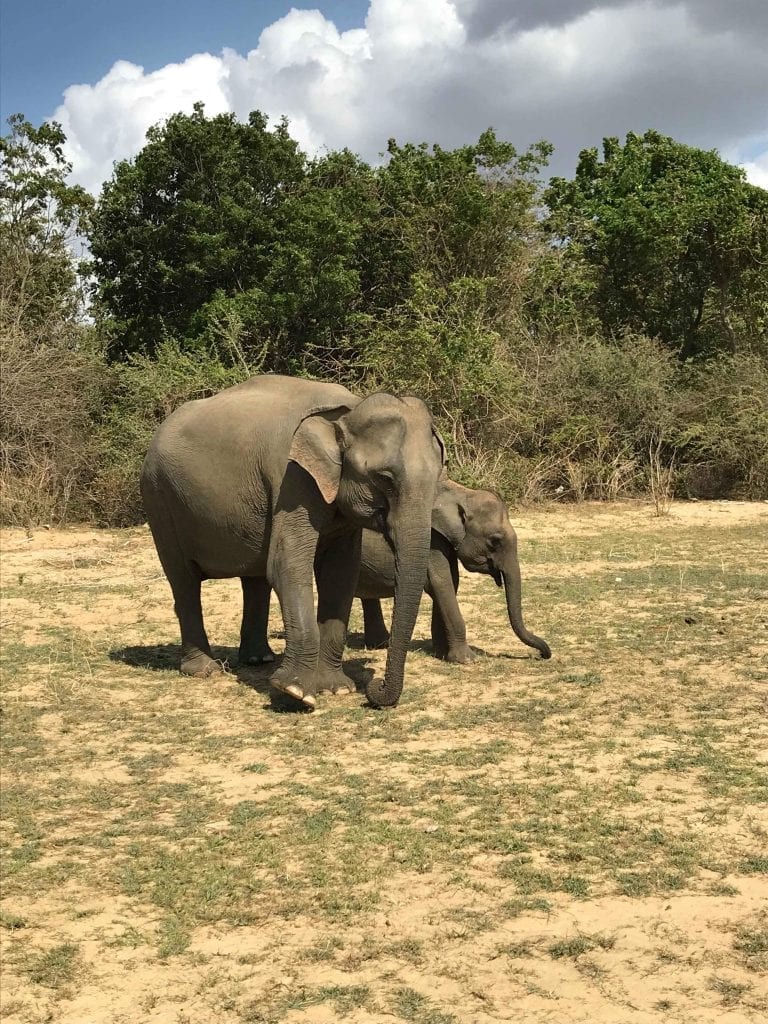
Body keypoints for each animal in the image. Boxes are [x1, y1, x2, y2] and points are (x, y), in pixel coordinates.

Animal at [141, 372, 448, 708]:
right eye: (384, 479)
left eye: (438, 476)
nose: (374, 687)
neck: (348, 409)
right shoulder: (290, 479)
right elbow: (287, 567)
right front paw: (296, 693)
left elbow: (340, 574)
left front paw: (336, 689)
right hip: (159, 498)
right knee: (183, 579)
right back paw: (204, 671)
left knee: (254, 577)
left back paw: (258, 659)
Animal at [246, 479, 552, 671]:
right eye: (495, 541)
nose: (543, 654)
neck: (460, 492)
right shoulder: (431, 538)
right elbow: (441, 583)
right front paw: (467, 660)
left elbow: (449, 583)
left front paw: (440, 653)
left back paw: (379, 645)